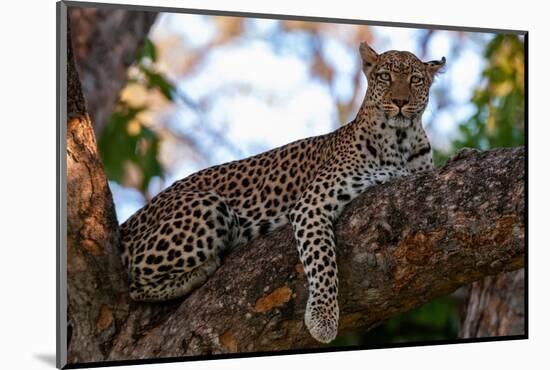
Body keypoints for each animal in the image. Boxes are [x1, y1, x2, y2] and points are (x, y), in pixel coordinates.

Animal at [118, 42, 446, 344]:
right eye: (384, 76)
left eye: (416, 79)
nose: (400, 101)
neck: (401, 141)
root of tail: (130, 221)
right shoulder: (312, 203)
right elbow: (322, 261)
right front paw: (323, 319)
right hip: (208, 206)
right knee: (134, 283)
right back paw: (198, 272)